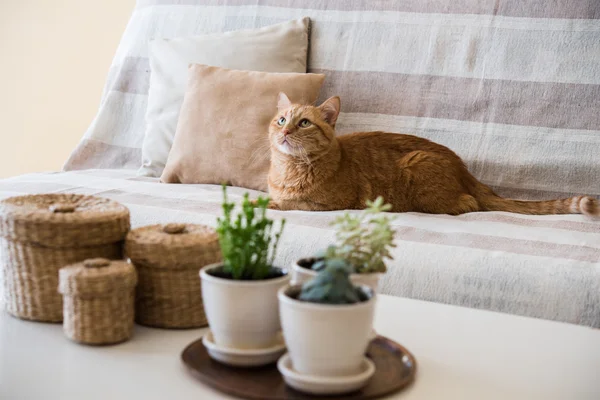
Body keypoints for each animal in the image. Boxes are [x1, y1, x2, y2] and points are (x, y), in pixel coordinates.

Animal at [268, 92, 600, 217]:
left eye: (304, 123)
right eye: (281, 120)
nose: (285, 132)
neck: (288, 168)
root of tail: (465, 170)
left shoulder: (332, 203)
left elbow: (294, 202)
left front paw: (272, 203)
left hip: (419, 164)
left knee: (470, 203)